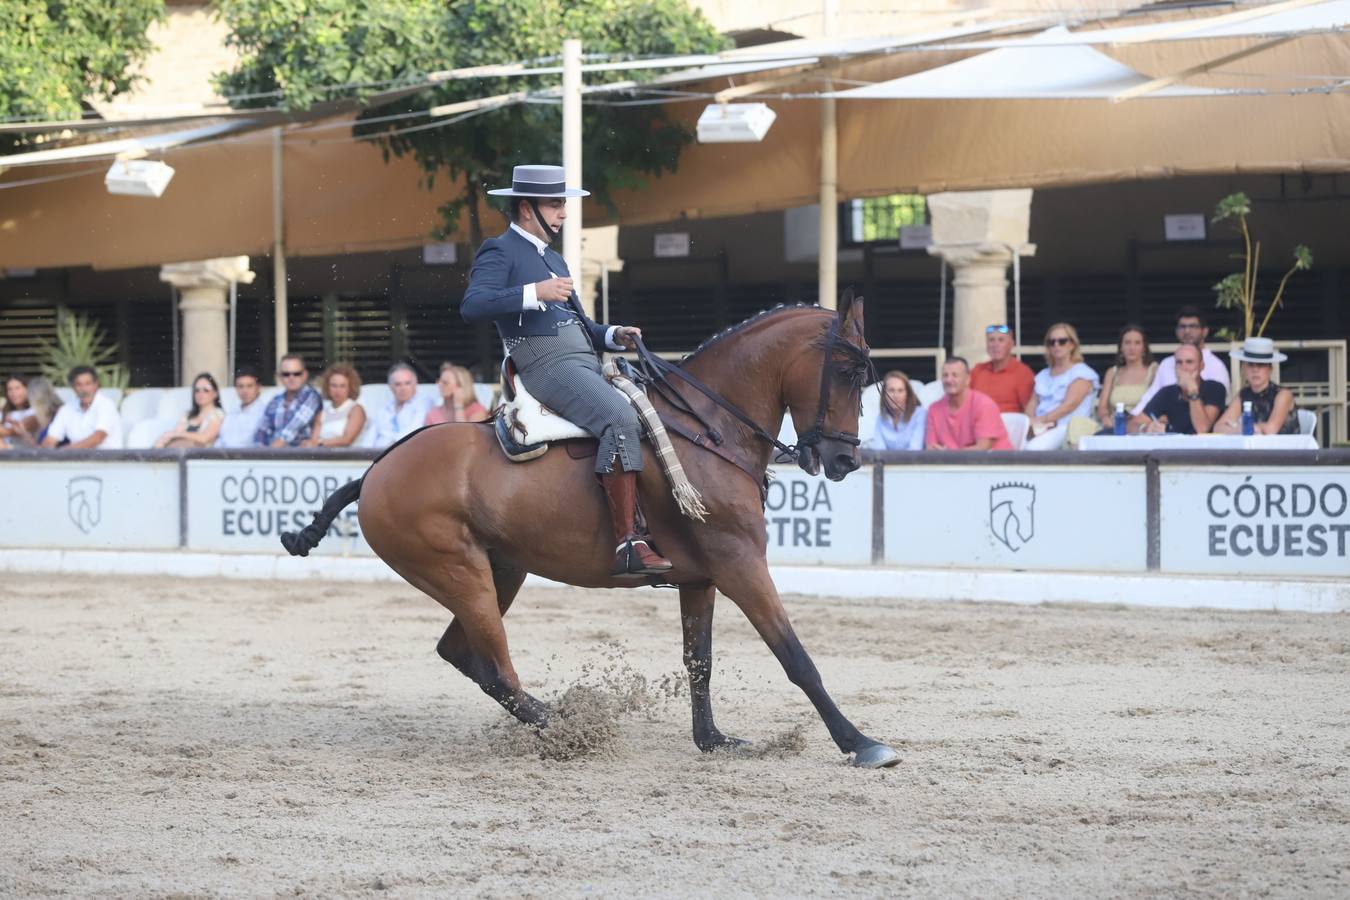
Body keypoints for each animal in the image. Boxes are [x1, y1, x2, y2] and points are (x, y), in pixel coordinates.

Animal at [279, 292, 901, 771]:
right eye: (847, 373)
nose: (844, 460)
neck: (708, 429)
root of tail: (376, 470)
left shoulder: (702, 578)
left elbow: (699, 660)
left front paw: (713, 741)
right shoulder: (740, 564)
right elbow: (795, 657)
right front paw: (860, 743)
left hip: (501, 570)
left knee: (464, 656)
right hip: (460, 573)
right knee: (496, 666)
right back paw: (564, 727)